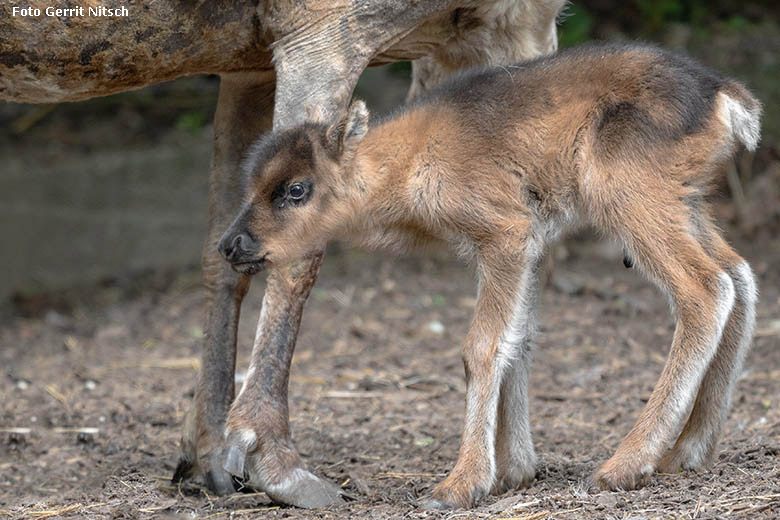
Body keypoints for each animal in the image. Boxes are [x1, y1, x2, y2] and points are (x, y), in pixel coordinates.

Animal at [216, 44, 760, 508]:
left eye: (296, 190)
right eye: (252, 183)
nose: (232, 245)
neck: (409, 162)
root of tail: (725, 96)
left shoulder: (504, 233)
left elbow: (481, 346)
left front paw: (460, 484)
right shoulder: (525, 243)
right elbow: (519, 338)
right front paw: (514, 471)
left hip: (632, 198)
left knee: (705, 288)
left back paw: (622, 466)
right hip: (686, 203)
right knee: (739, 275)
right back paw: (688, 452)